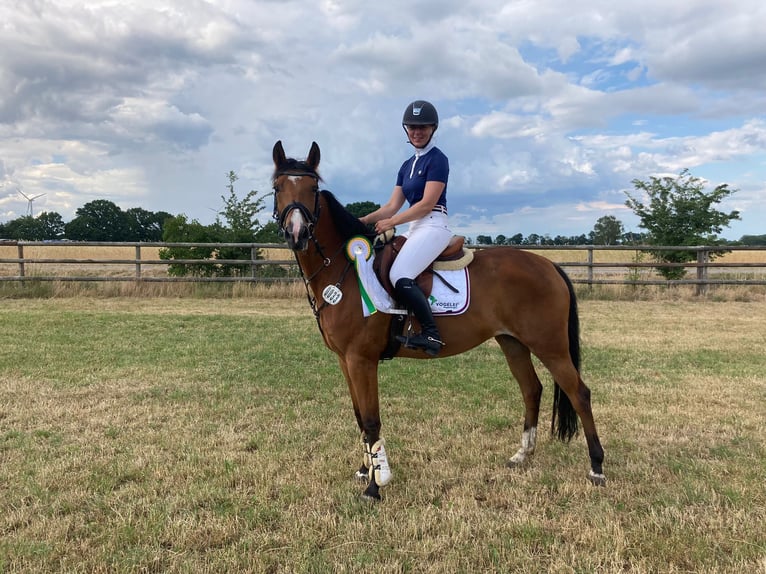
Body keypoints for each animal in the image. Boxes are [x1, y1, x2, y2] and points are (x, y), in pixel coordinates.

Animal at [270, 142, 608, 502]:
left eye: (313, 189)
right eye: (278, 187)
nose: (297, 233)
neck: (345, 270)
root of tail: (550, 265)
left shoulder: (362, 360)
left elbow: (372, 420)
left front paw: (375, 486)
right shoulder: (344, 360)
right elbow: (359, 416)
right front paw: (365, 470)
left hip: (550, 345)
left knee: (579, 393)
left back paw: (596, 467)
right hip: (513, 342)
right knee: (532, 389)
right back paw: (522, 455)